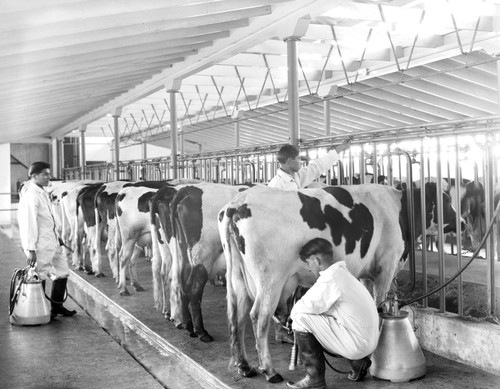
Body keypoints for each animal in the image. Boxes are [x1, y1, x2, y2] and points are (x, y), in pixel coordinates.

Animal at [150, 182, 248, 340]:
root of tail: (188, 189)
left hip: (182, 252)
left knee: (178, 281)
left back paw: (185, 324)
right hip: (203, 254)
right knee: (192, 287)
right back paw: (200, 331)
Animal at [218, 182, 460, 382]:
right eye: (447, 200)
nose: (463, 222)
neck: (400, 210)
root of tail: (236, 204)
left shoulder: (366, 273)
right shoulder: (386, 266)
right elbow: (380, 306)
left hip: (238, 278)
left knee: (236, 316)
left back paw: (244, 366)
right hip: (270, 279)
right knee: (258, 317)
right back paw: (269, 371)